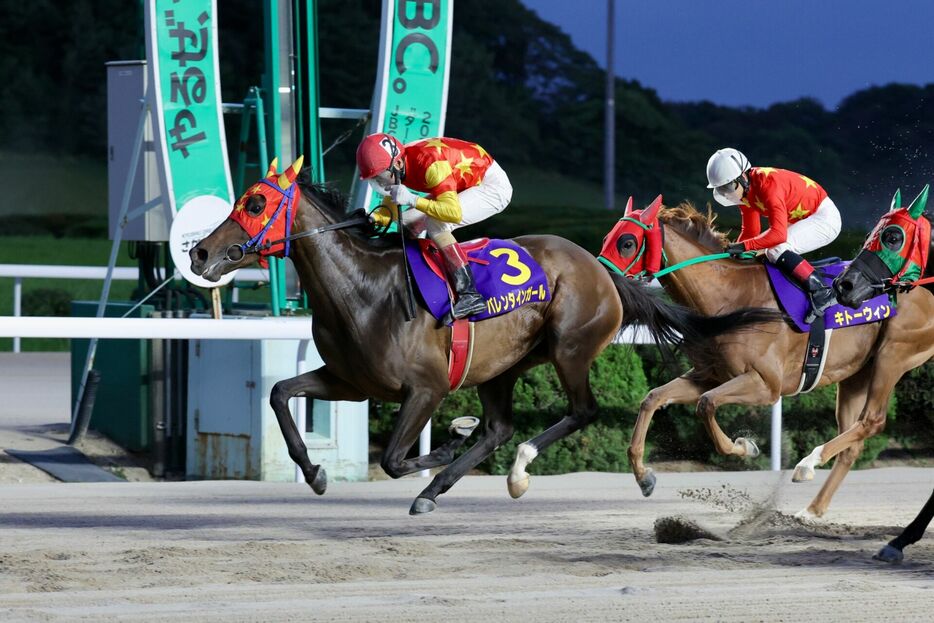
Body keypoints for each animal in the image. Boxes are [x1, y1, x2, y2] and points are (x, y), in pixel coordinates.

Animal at [188, 162, 776, 516]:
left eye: (256, 204)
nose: (199, 252)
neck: (363, 289)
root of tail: (605, 271)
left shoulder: (425, 389)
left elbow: (394, 459)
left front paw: (448, 438)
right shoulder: (350, 381)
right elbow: (279, 393)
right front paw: (313, 472)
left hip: (569, 347)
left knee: (579, 411)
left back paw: (505, 472)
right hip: (502, 367)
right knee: (498, 428)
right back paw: (442, 486)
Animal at [608, 197, 934, 520]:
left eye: (627, 242)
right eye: (608, 238)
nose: (605, 279)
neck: (729, 297)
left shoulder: (766, 385)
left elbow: (706, 404)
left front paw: (745, 447)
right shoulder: (709, 375)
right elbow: (653, 398)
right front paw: (644, 477)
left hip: (892, 356)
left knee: (872, 420)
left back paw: (806, 465)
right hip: (856, 374)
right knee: (853, 442)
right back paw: (812, 509)